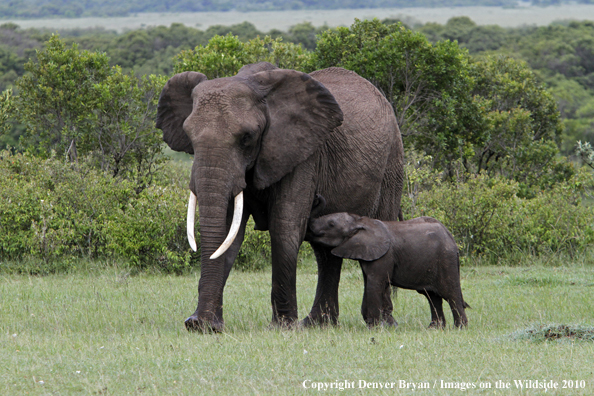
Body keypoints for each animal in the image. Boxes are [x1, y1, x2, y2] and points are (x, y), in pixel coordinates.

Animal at [155, 62, 402, 332]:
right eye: (189, 135)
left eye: (246, 137)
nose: (196, 323)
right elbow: (229, 232)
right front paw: (206, 326)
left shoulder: (302, 153)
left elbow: (284, 225)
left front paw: (283, 327)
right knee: (326, 252)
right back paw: (318, 324)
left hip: (392, 161)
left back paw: (383, 323)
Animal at [306, 213, 468, 328]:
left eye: (331, 224)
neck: (359, 221)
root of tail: (451, 237)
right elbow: (370, 284)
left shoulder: (384, 256)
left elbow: (375, 284)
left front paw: (373, 327)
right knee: (432, 297)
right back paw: (434, 328)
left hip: (446, 260)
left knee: (451, 294)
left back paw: (459, 327)